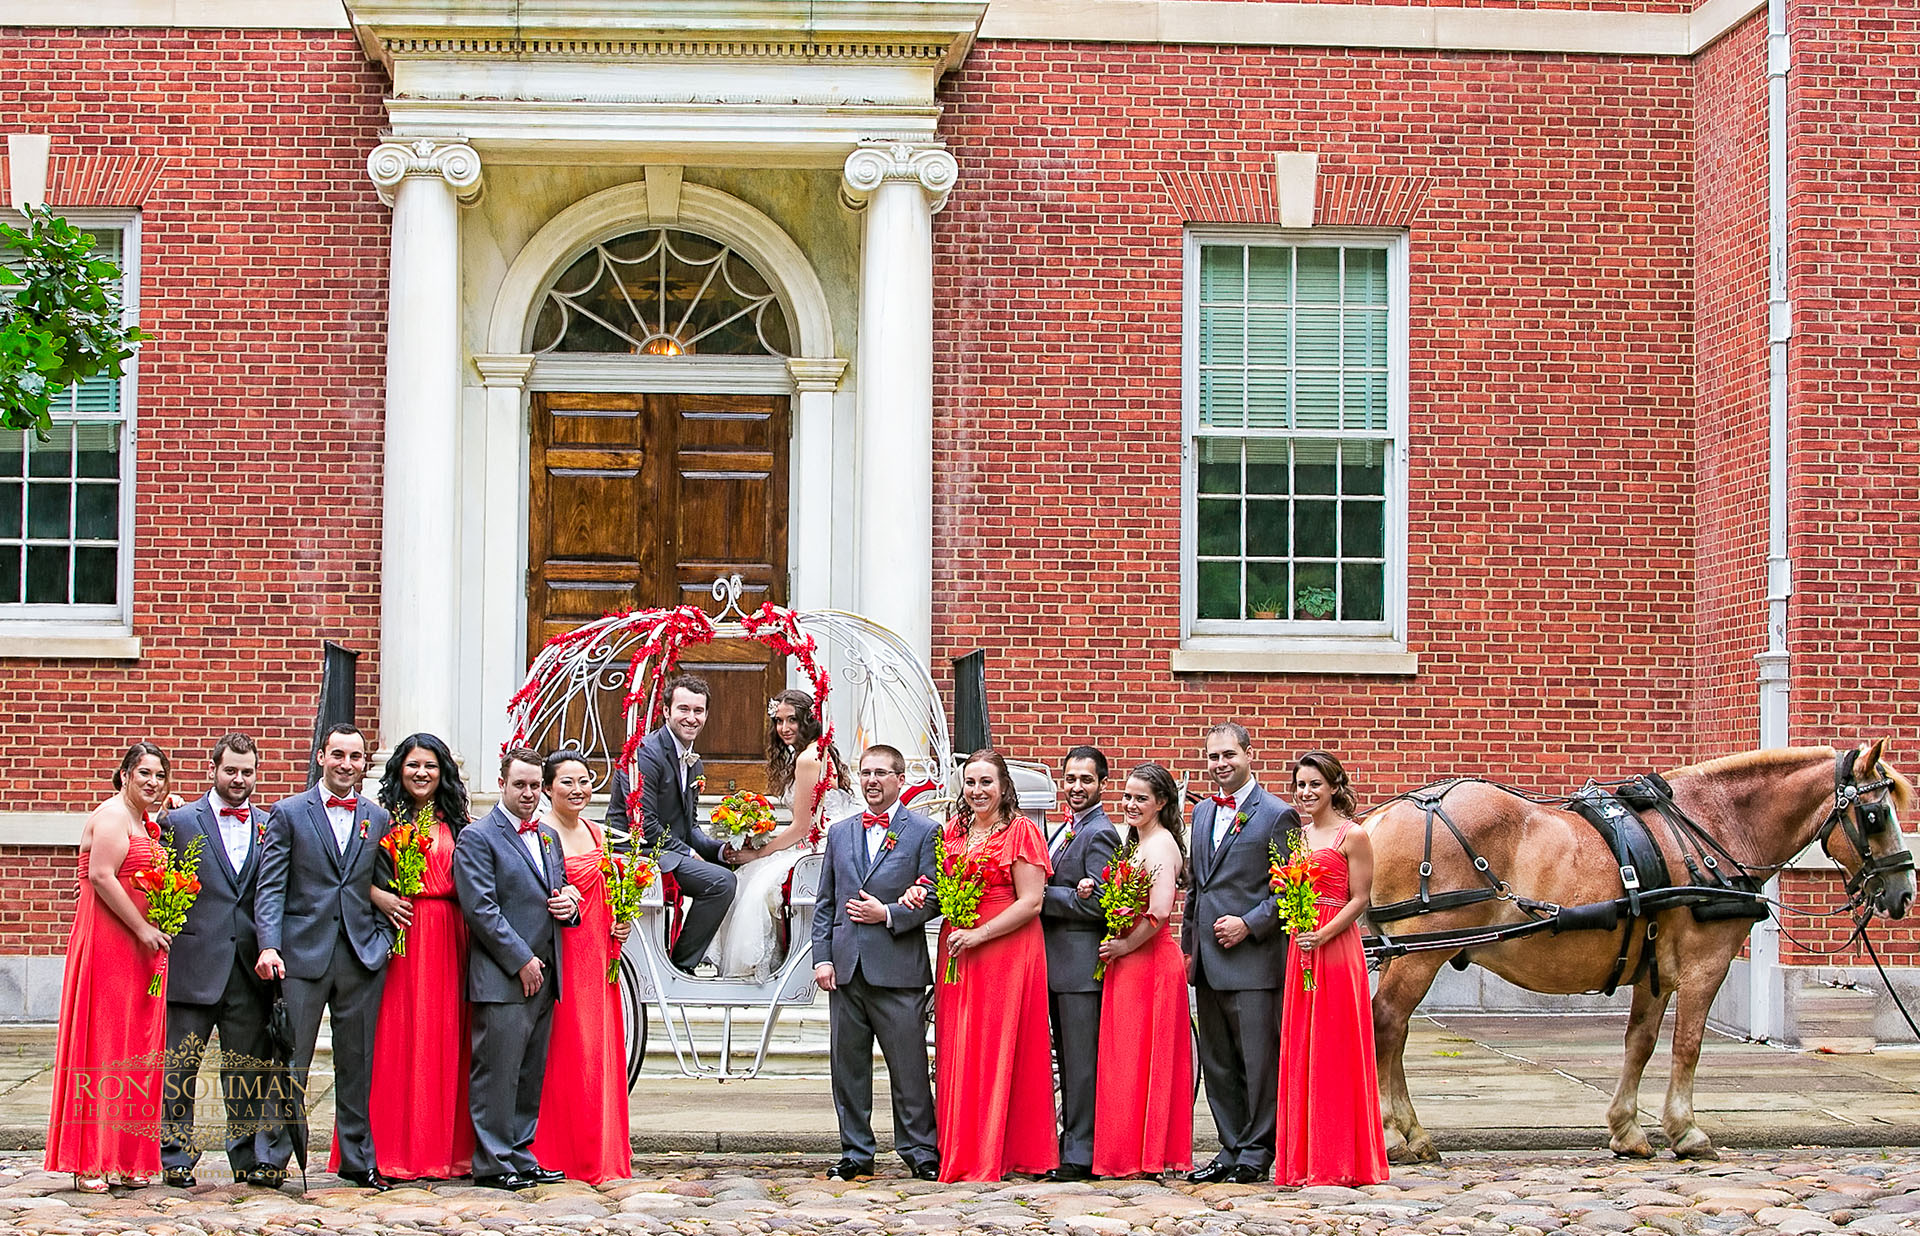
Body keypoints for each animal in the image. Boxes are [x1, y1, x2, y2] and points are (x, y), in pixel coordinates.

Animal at [1374, 744, 1912, 1159]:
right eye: (1875, 815)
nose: (1903, 892)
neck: (1713, 826)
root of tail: (1383, 815)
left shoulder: (1654, 969)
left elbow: (1641, 1042)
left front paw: (1627, 1129)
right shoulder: (1705, 967)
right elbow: (1688, 1045)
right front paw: (1687, 1130)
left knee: (1395, 1032)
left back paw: (1410, 1131)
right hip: (1420, 953)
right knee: (1387, 1024)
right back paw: (1393, 1134)